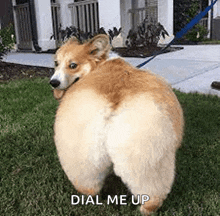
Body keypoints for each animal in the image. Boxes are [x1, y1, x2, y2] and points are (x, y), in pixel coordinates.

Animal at [49, 33, 184, 214]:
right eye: (56, 63)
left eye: (73, 65)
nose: (53, 83)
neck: (99, 64)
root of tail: (111, 107)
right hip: (149, 155)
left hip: (82, 151)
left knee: (88, 186)